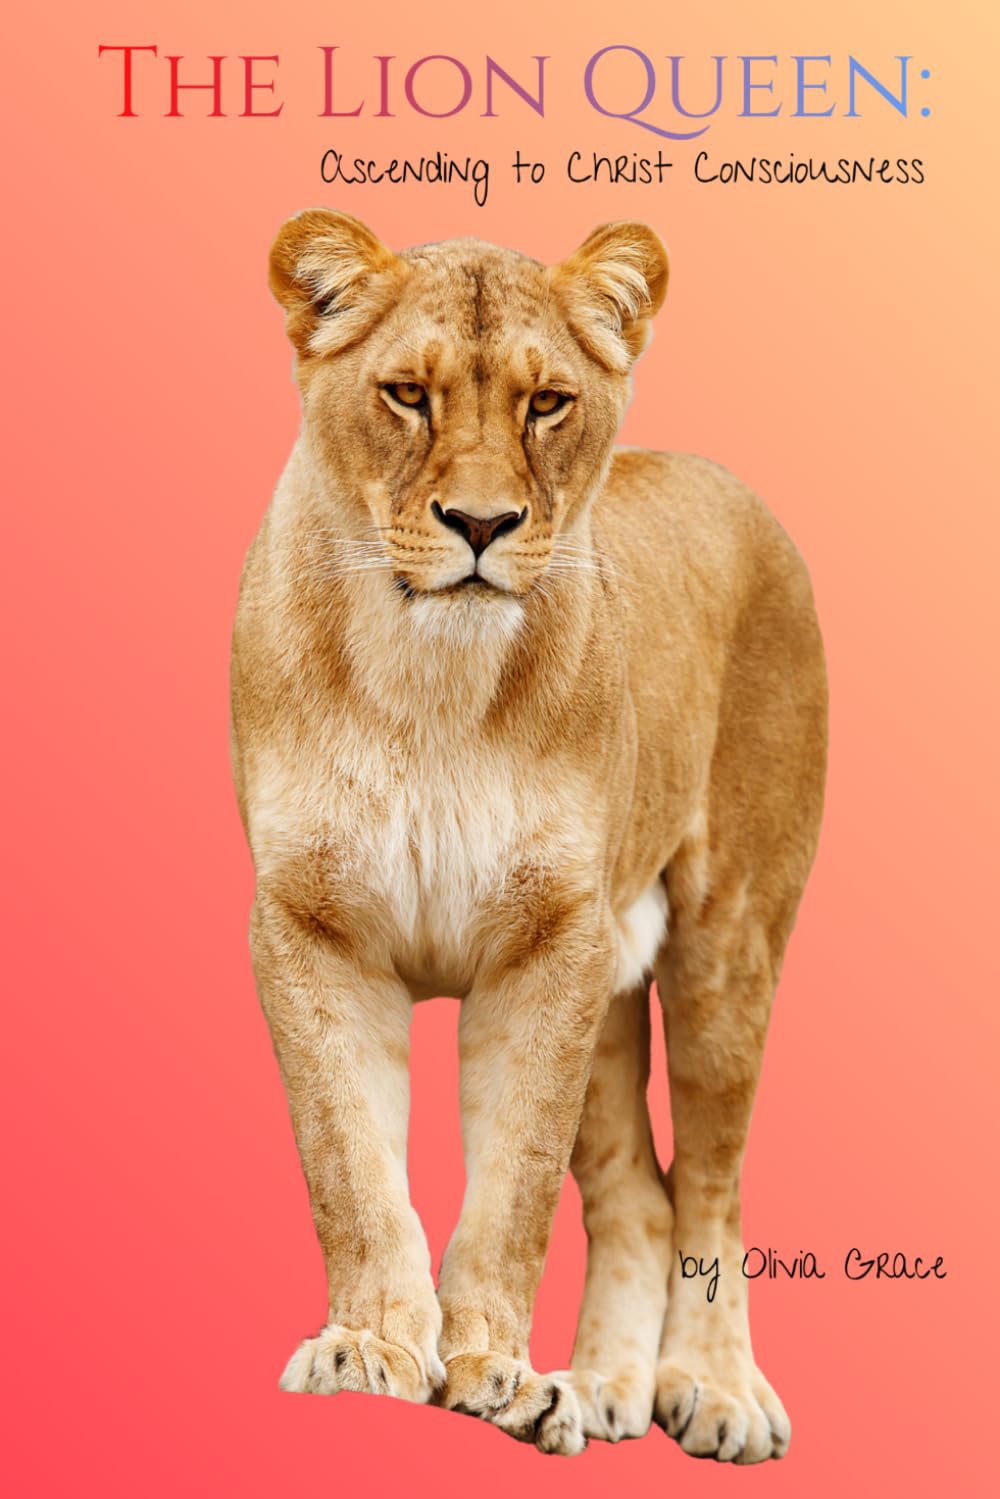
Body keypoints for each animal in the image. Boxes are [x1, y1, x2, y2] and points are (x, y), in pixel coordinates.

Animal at [229, 209, 827, 1461]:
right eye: (406, 394)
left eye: (547, 402)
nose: (481, 524)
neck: (428, 681)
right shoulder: (311, 926)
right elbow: (348, 1160)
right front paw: (369, 1350)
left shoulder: (551, 940)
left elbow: (513, 1185)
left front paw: (490, 1370)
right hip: (613, 982)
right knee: (639, 1193)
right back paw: (599, 1388)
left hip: (724, 945)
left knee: (710, 1183)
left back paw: (714, 1388)